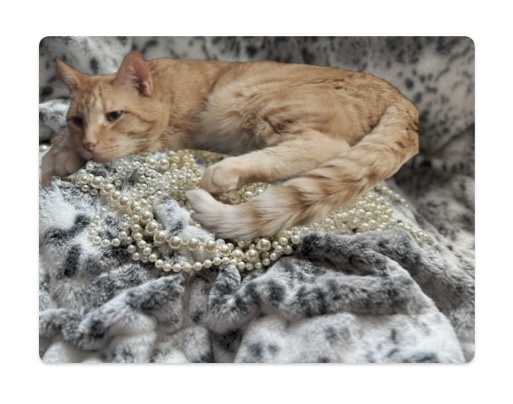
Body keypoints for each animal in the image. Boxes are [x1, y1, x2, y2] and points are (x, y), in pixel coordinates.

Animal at [42, 50, 418, 240]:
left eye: (114, 115)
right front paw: (63, 148)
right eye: (77, 120)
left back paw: (225, 170)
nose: (89, 142)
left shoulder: (166, 137)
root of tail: (401, 98)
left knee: (327, 147)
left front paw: (61, 155)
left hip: (256, 98)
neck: (166, 88)